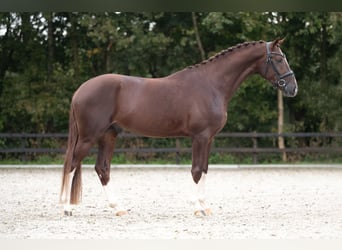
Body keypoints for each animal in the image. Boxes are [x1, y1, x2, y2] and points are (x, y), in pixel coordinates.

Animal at [60, 38, 296, 216]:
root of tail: (80, 90)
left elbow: (205, 169)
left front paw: (205, 207)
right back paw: (66, 208)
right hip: (89, 137)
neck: (211, 85)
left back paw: (118, 208)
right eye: (278, 59)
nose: (293, 88)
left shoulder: (209, 139)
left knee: (102, 169)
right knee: (71, 163)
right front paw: (196, 208)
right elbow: (196, 170)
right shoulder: (200, 137)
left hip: (108, 135)